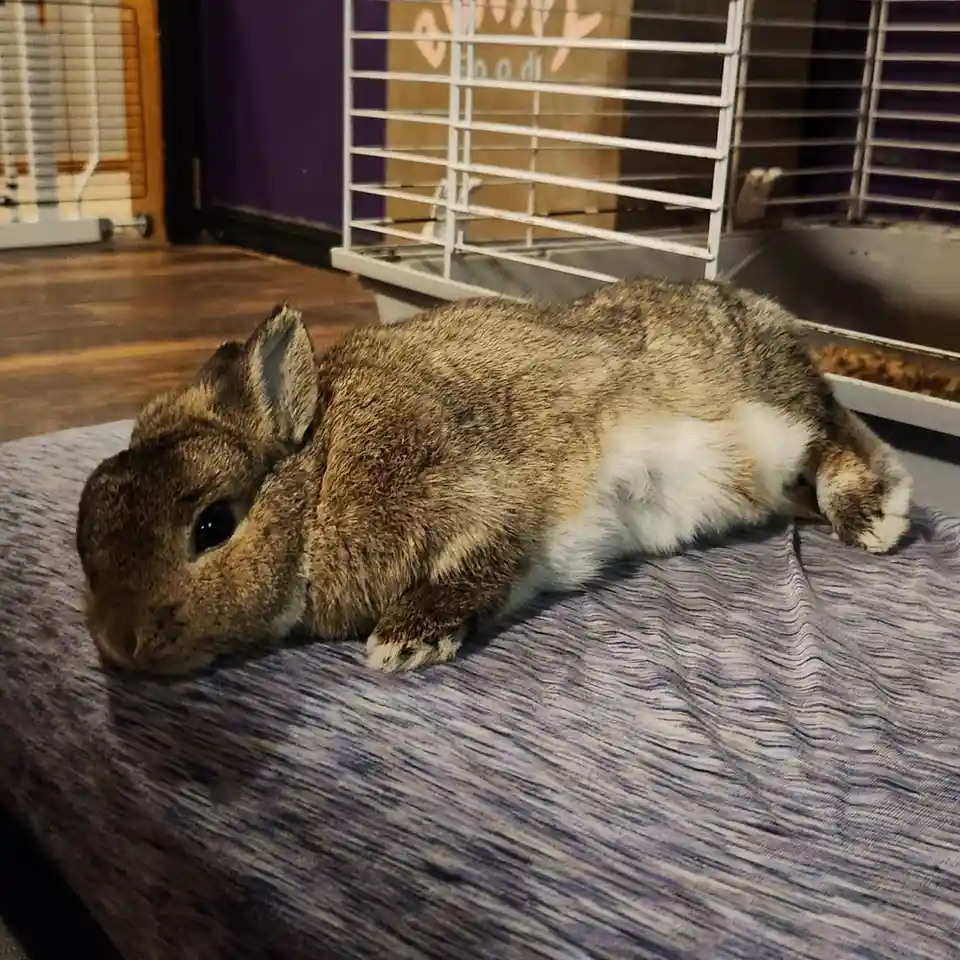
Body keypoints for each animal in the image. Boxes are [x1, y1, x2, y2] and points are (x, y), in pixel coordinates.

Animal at [76, 278, 913, 676]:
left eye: (213, 524)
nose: (117, 644)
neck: (320, 481)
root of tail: (771, 315)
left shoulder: (475, 496)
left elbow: (484, 558)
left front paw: (403, 642)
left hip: (768, 416)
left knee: (838, 430)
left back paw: (878, 517)